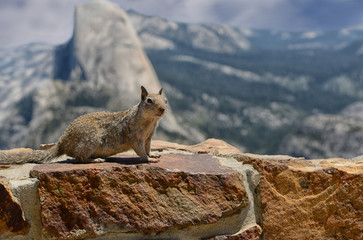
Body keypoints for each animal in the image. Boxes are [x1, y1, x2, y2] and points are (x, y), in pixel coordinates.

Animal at [0, 86, 168, 165]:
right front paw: (148, 160)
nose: (163, 109)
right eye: (149, 101)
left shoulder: (148, 137)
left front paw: (153, 155)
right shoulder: (135, 136)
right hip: (91, 140)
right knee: (79, 158)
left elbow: (148, 148)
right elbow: (140, 150)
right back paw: (95, 160)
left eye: (165, 100)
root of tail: (62, 142)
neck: (150, 121)